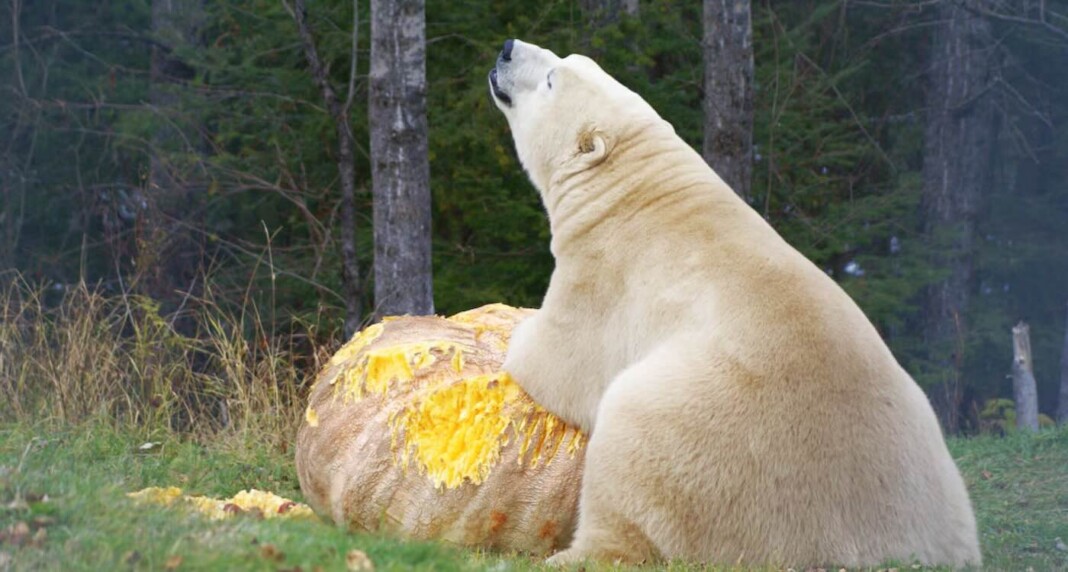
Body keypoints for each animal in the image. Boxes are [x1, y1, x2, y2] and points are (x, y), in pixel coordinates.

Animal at [489, 39, 981, 568]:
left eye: (553, 78)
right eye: (564, 60)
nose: (508, 48)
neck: (634, 189)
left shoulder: (605, 272)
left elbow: (557, 360)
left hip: (708, 434)